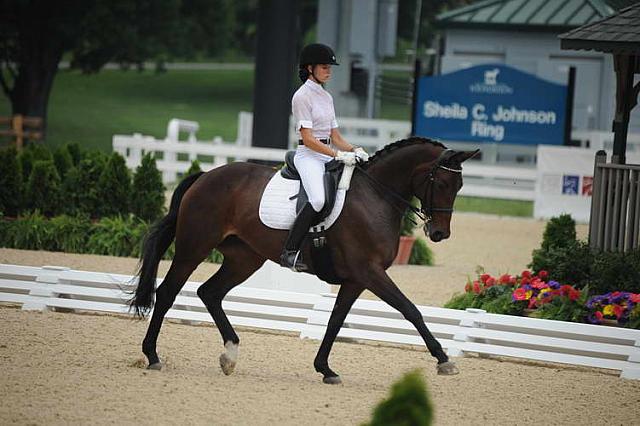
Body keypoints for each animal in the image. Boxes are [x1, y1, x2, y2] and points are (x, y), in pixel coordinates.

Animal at [130, 138, 478, 384]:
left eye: (459, 186)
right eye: (442, 184)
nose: (439, 233)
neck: (375, 197)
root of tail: (205, 176)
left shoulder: (356, 279)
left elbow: (335, 321)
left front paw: (325, 368)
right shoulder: (370, 272)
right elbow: (410, 310)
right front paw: (444, 360)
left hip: (244, 258)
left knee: (210, 293)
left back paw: (230, 355)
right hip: (194, 248)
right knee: (168, 292)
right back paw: (152, 355)